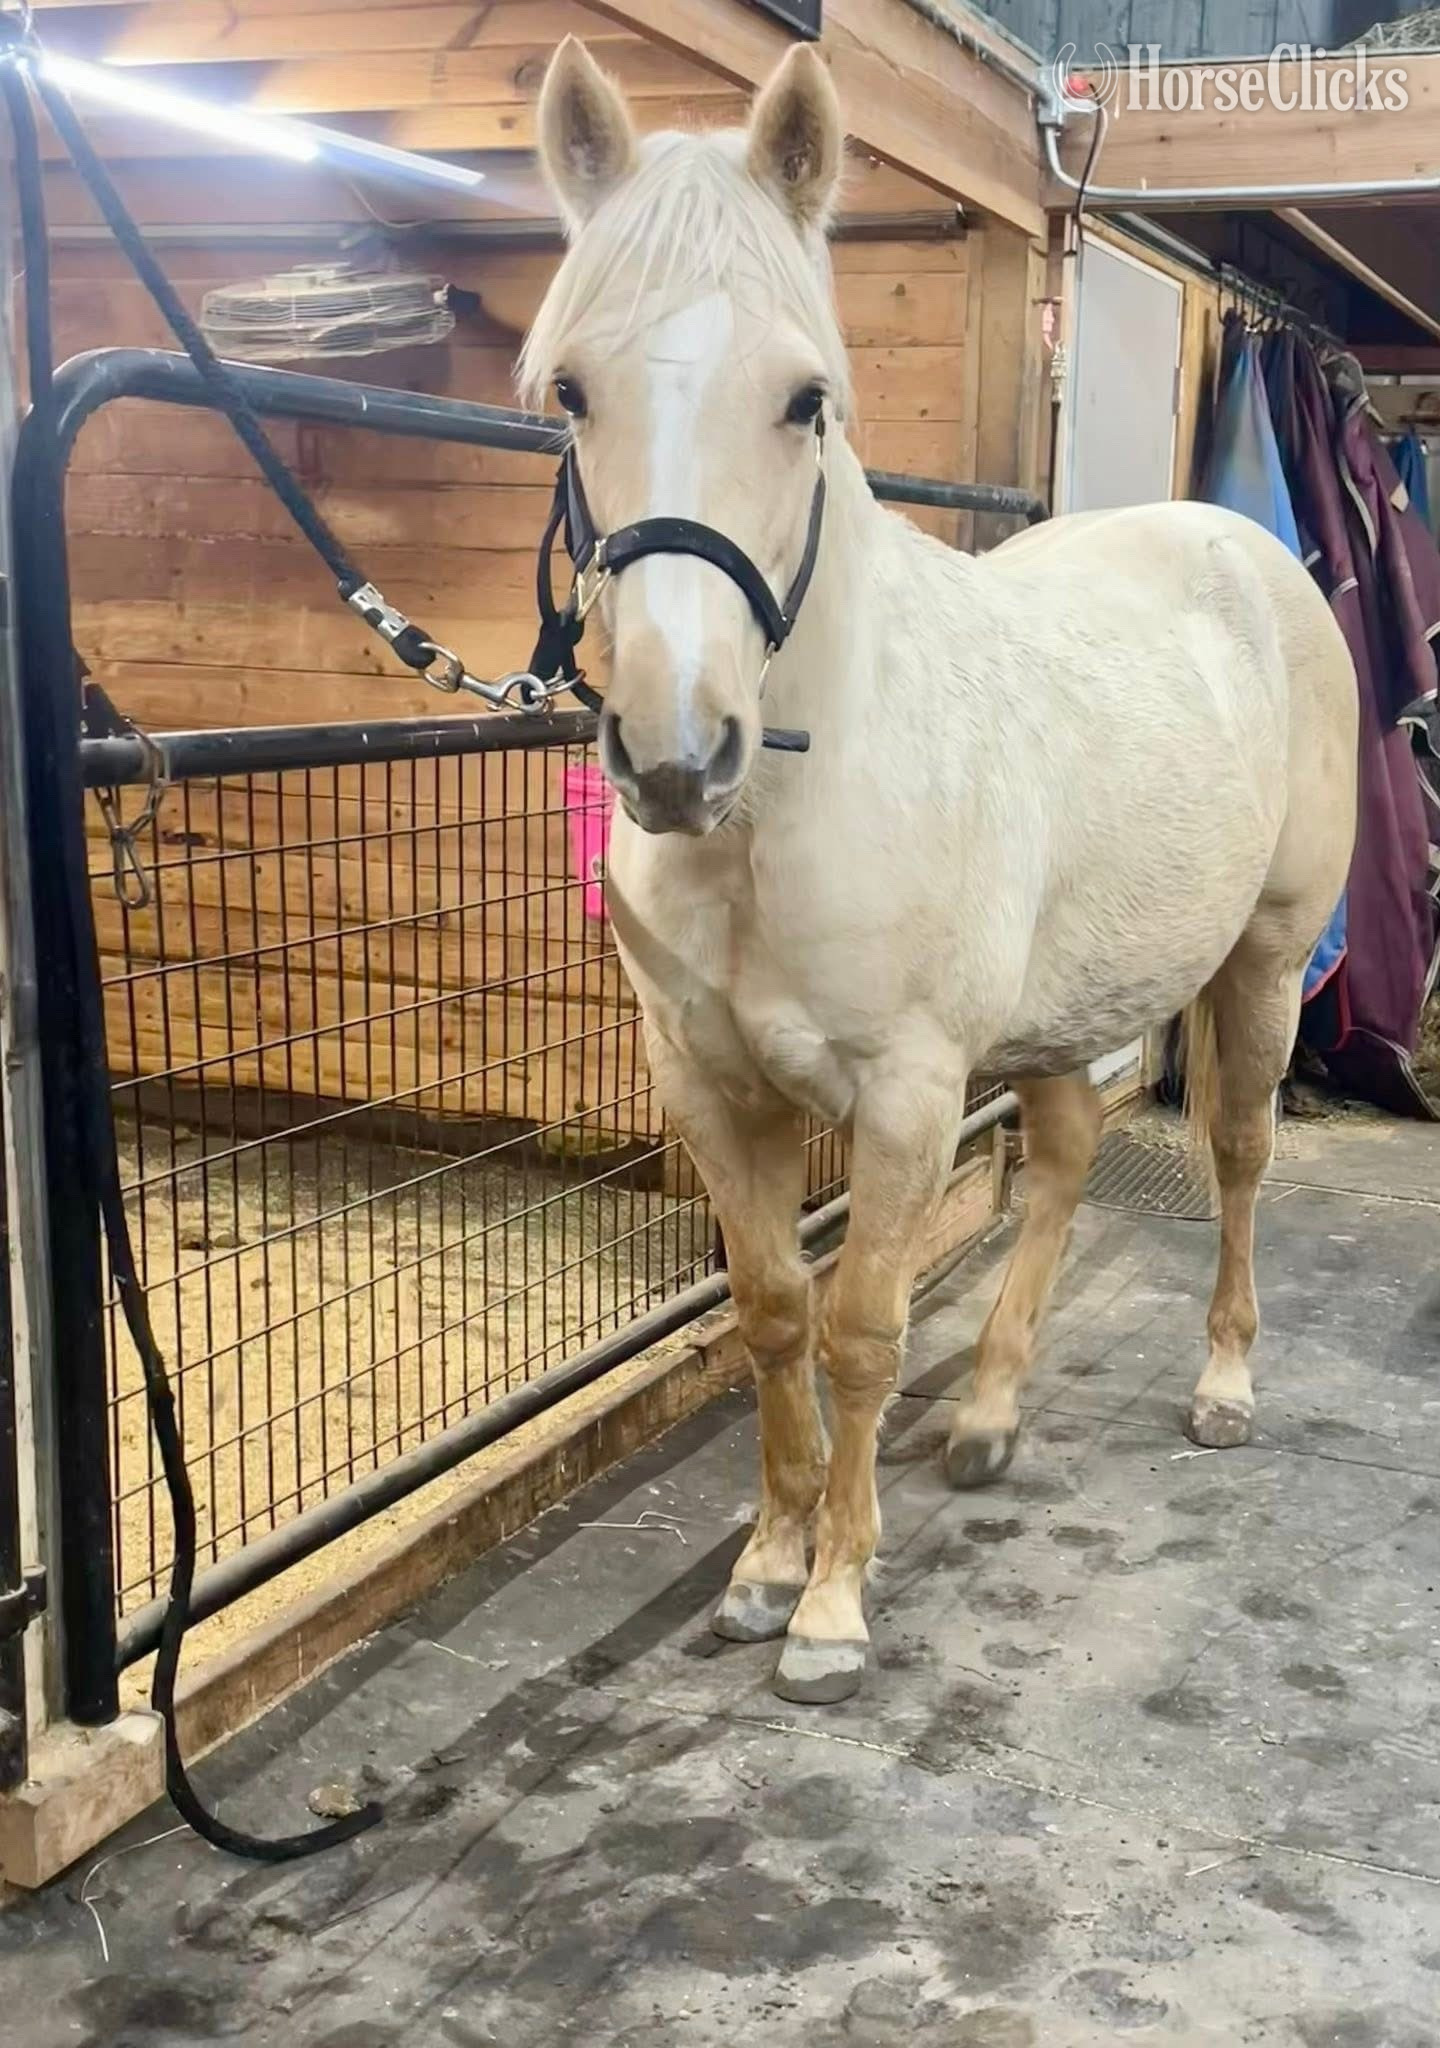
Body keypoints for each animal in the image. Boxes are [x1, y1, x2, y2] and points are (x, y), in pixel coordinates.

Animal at [523, 37, 1358, 1704]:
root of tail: (1253, 551)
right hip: (1058, 1008)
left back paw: (1224, 1383)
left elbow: (861, 1328)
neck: (801, 789)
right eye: (573, 388)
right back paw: (986, 1415)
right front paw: (765, 1565)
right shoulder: (711, 1086)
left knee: (1238, 1156)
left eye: (805, 400)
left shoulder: (906, 1091)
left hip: (1262, 961)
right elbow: (773, 1317)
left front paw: (834, 1606)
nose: (677, 752)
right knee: (1065, 1162)